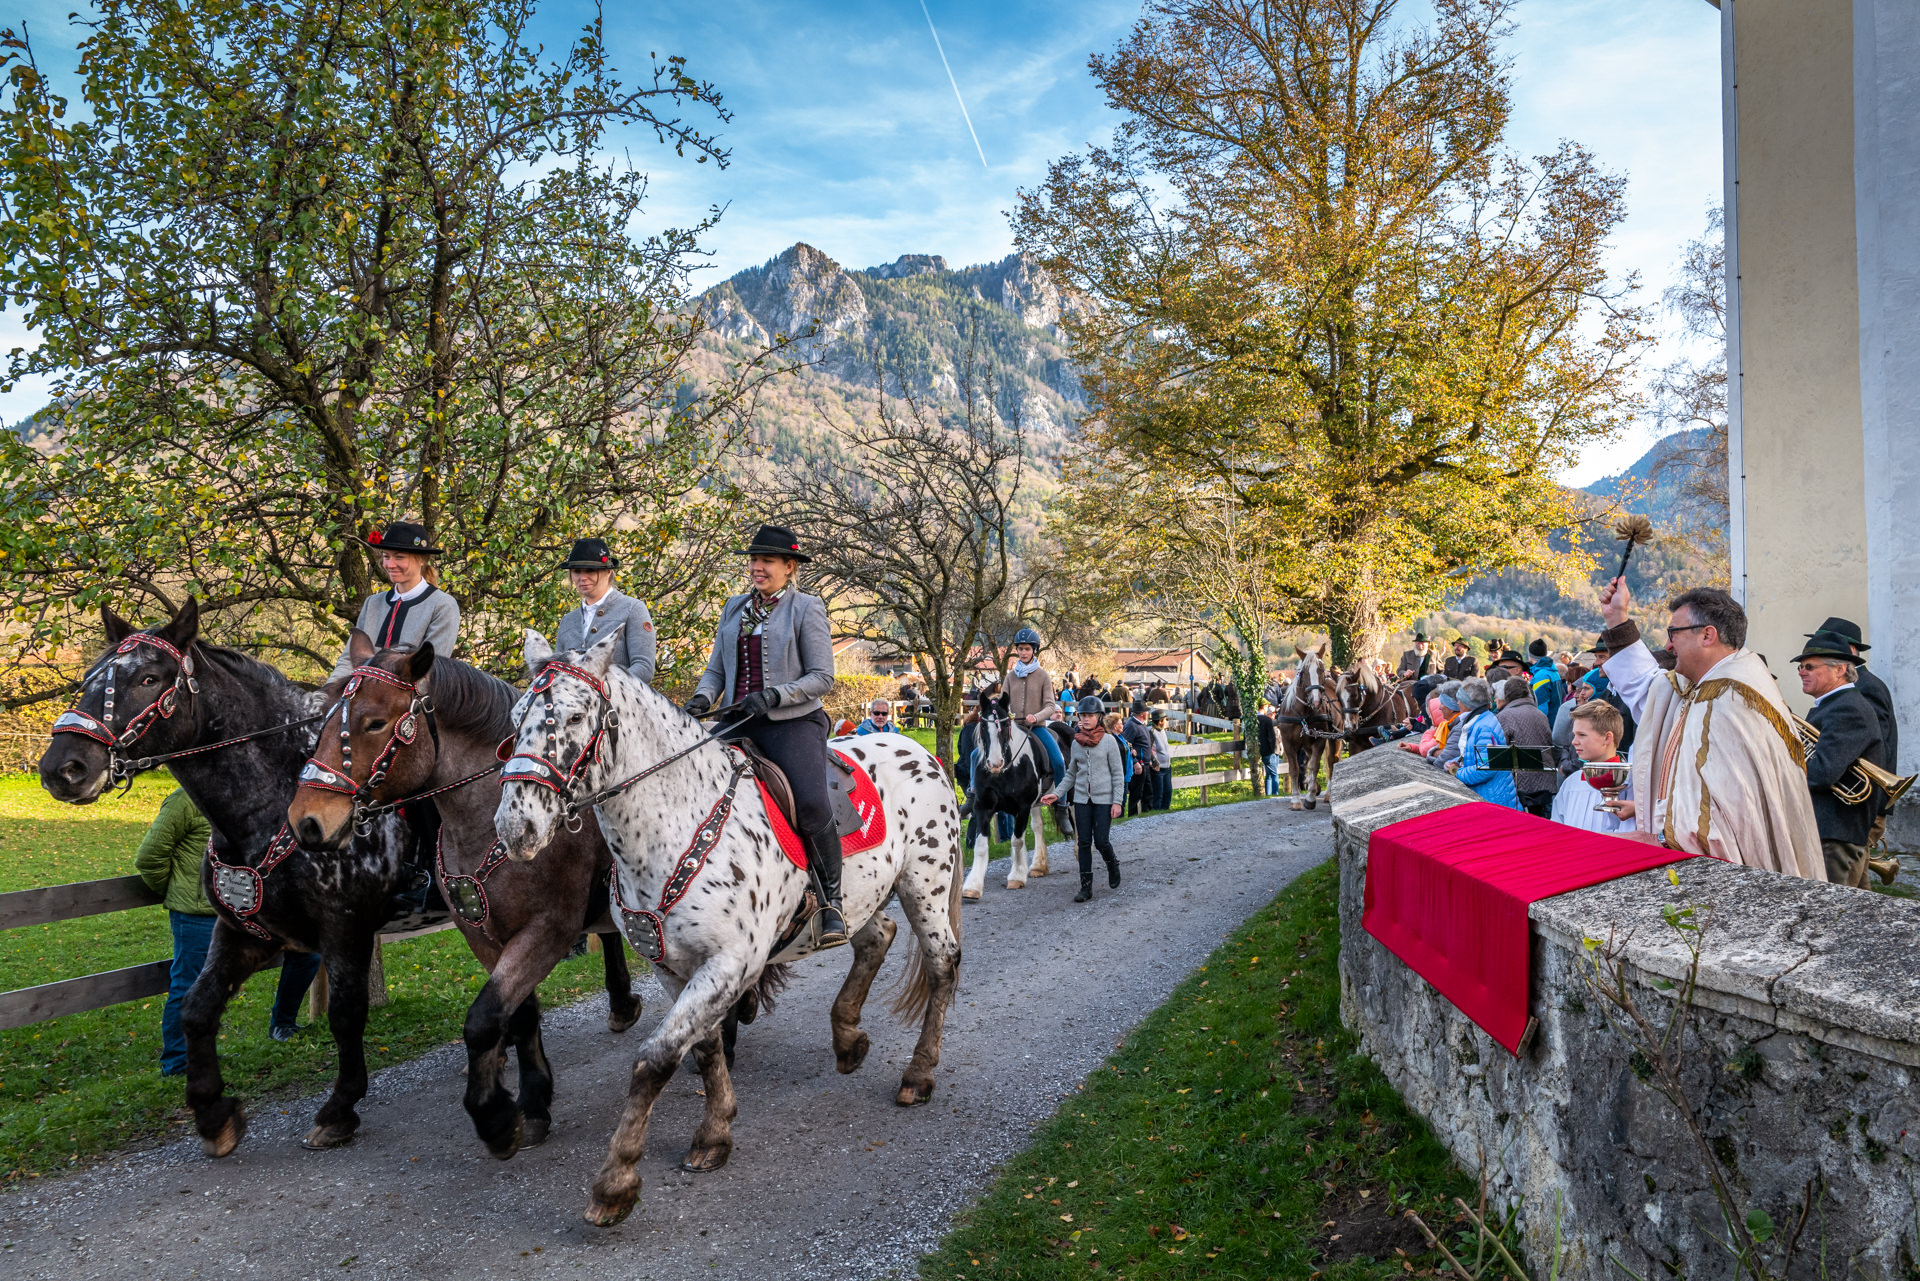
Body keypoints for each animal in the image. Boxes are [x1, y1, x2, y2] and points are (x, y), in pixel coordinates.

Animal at [285, 635, 642, 1159]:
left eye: (375, 722)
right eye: (327, 718)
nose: (307, 821)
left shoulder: (549, 929)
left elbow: (483, 1020)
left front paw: (495, 1117)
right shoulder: (483, 934)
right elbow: (518, 1014)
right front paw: (533, 1103)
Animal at [493, 629, 964, 1227]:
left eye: (575, 717)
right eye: (516, 718)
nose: (516, 826)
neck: (676, 822)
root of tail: (921, 751)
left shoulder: (729, 963)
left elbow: (654, 1060)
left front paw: (616, 1182)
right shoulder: (675, 967)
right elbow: (703, 1046)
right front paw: (714, 1135)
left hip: (924, 885)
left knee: (942, 965)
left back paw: (918, 1076)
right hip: (861, 896)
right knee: (877, 937)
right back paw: (848, 1039)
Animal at [960, 693, 1054, 900]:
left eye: (1004, 726)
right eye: (983, 725)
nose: (995, 763)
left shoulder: (1022, 808)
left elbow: (1016, 841)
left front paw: (1017, 876)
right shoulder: (983, 807)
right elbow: (981, 845)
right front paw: (972, 886)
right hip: (1036, 805)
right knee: (1038, 827)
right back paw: (1038, 866)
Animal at [1274, 644, 1348, 811]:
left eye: (1321, 669)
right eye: (1303, 671)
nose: (1316, 700)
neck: (1303, 713)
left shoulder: (1319, 740)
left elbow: (1314, 766)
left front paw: (1310, 798)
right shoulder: (1288, 742)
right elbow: (1295, 768)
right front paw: (1296, 799)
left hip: (1334, 737)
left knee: (1331, 760)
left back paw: (1327, 793)